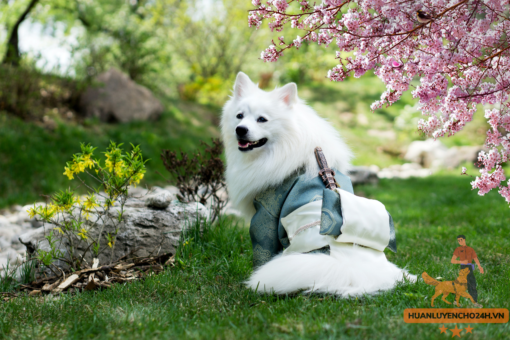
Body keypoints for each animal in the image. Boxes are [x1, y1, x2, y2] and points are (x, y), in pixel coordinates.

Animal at [221, 72, 416, 298]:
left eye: (262, 119)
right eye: (239, 116)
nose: (240, 130)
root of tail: (348, 267)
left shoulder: (265, 216)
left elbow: (262, 251)